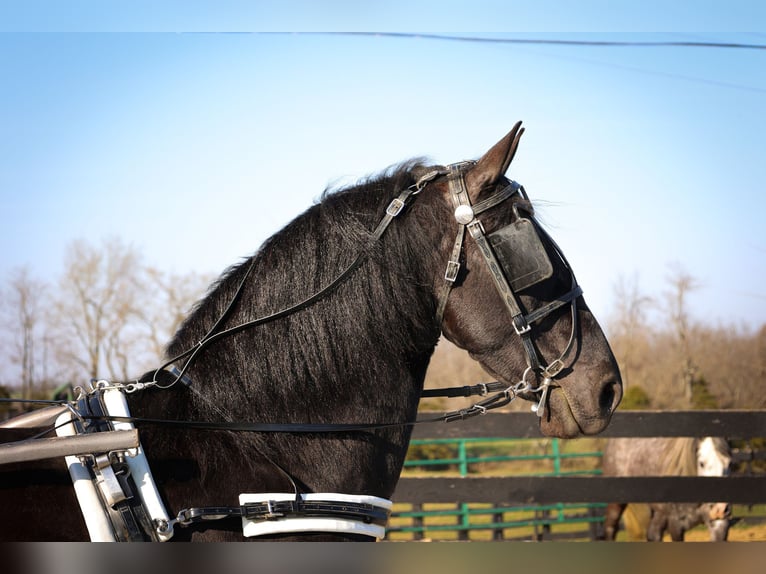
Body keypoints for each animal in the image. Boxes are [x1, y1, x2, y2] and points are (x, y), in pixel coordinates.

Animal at [600, 438, 732, 544]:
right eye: (702, 463)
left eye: (729, 463)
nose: (720, 509)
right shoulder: (676, 524)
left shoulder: (719, 525)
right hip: (616, 505)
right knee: (610, 529)